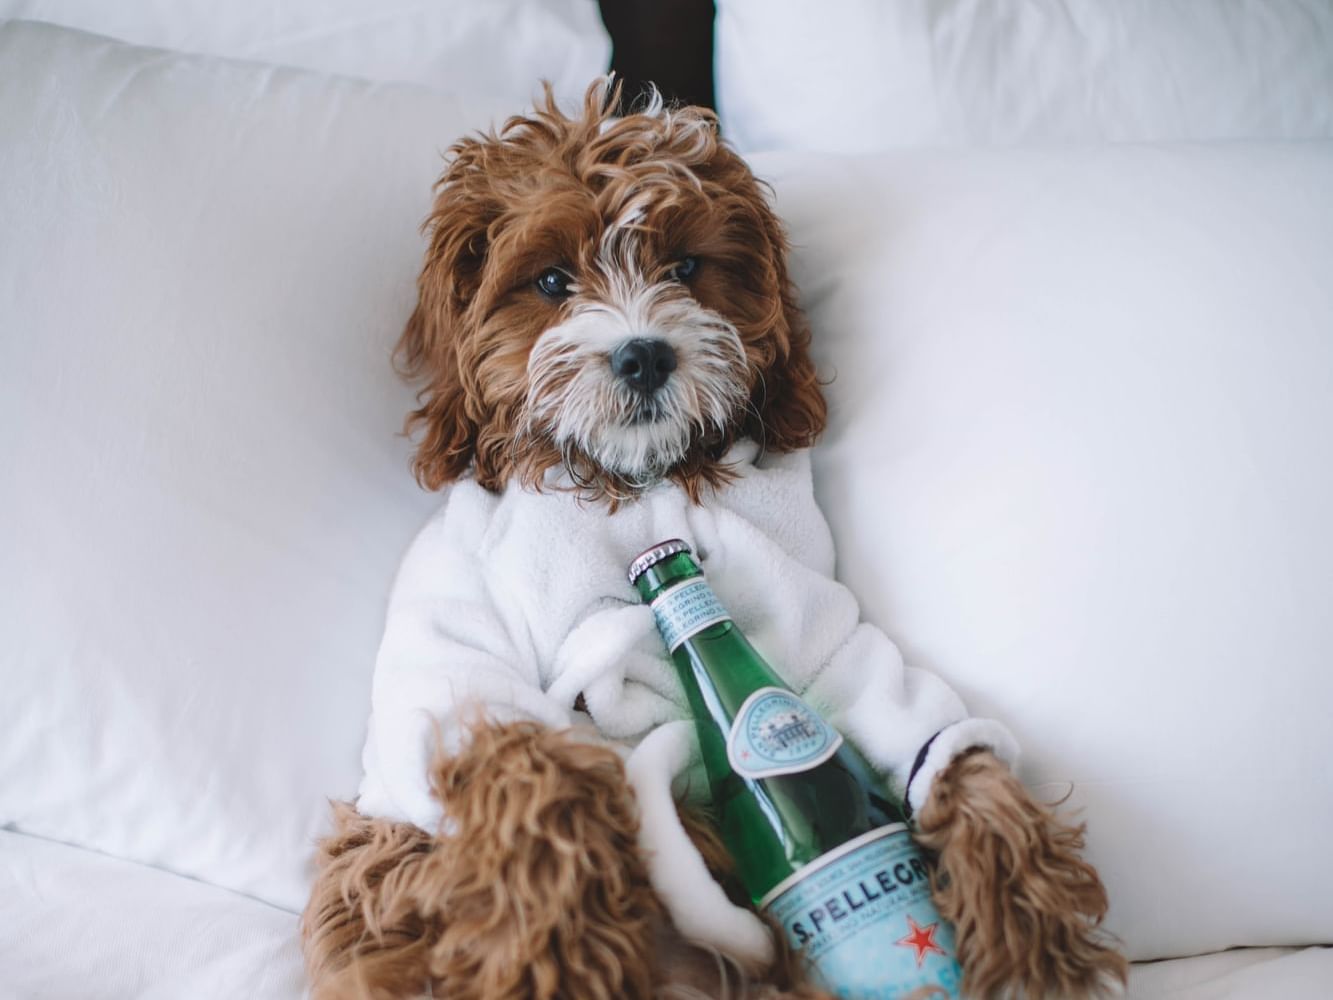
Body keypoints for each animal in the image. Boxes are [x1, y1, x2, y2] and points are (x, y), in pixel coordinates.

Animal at [299, 84, 1125, 1000]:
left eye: (685, 267)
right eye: (550, 280)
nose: (642, 355)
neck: (635, 485)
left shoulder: (816, 622)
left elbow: (914, 725)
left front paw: (1022, 914)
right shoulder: (454, 638)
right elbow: (521, 762)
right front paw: (558, 948)